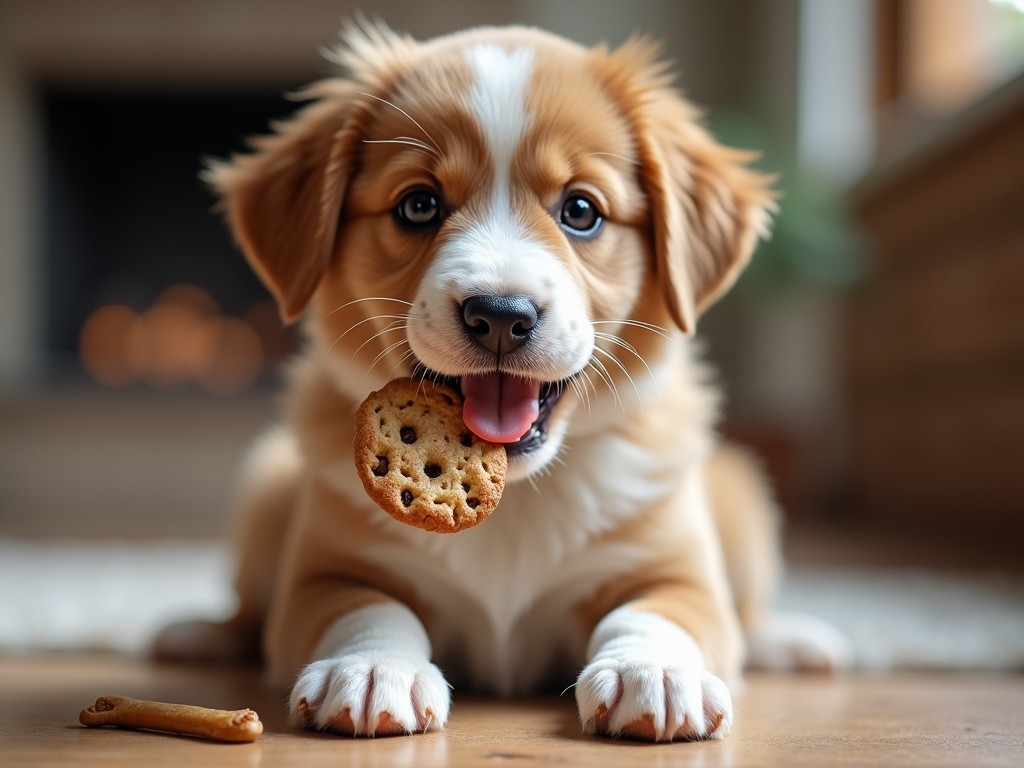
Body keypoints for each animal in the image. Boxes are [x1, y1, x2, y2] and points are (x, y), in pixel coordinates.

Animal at [157, 20, 847, 741]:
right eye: (419, 204)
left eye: (581, 210)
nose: (499, 317)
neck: (514, 498)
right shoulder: (324, 574)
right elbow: (367, 609)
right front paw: (374, 669)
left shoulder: (676, 570)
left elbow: (656, 613)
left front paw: (651, 672)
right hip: (264, 493)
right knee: (247, 608)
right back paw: (200, 633)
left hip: (743, 505)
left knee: (748, 610)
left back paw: (792, 641)